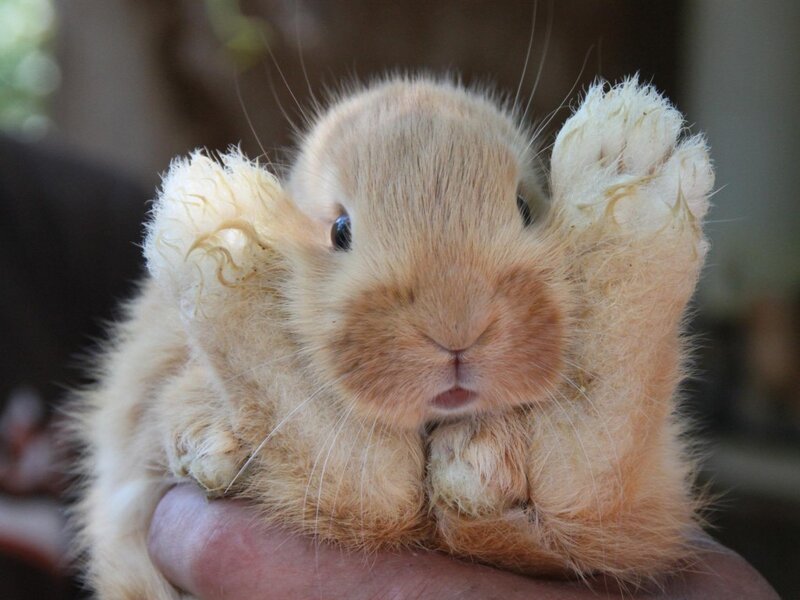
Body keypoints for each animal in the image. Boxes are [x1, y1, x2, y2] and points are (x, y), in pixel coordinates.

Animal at [73, 74, 714, 598]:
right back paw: (213, 215)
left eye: (526, 208)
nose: (456, 327)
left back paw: (629, 160)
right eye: (340, 230)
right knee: (373, 485)